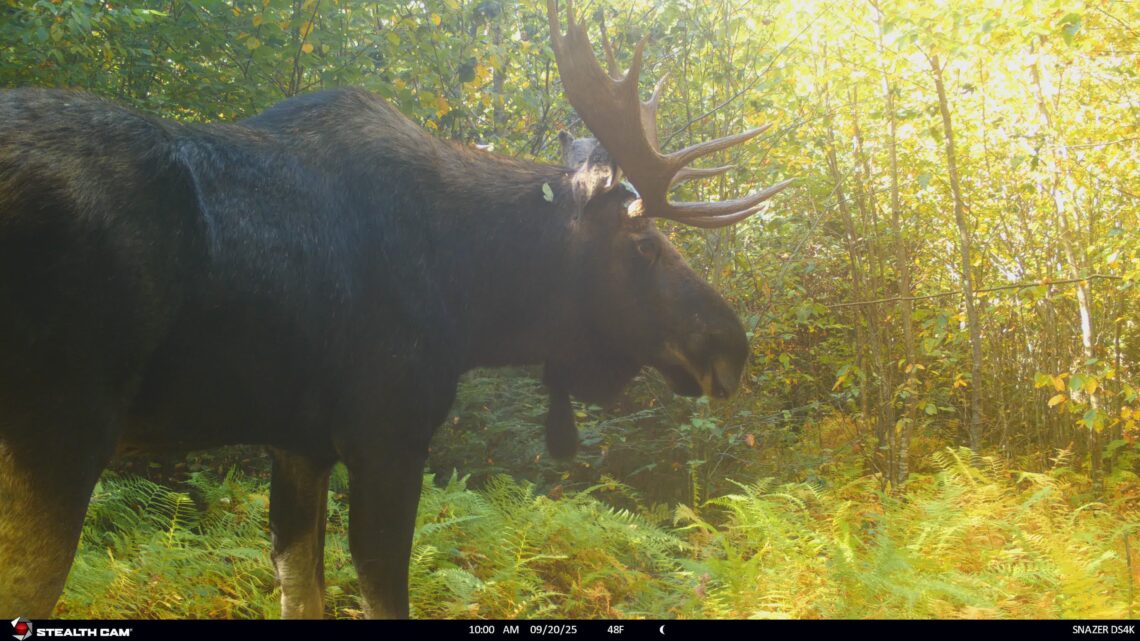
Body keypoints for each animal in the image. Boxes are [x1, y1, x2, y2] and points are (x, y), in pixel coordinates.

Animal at [0, 0, 790, 618]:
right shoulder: (389, 433)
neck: (474, 301)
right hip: (60, 434)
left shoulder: (298, 442)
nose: (733, 344)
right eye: (645, 243)